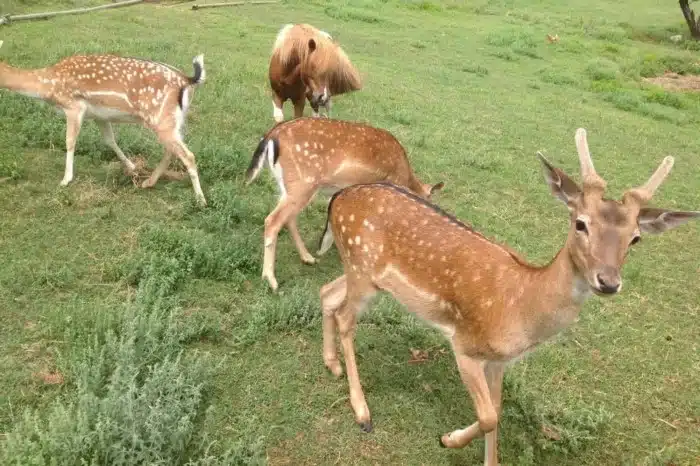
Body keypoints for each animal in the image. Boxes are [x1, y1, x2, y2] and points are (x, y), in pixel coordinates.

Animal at [0, 40, 208, 206]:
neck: (47, 85)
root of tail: (187, 80)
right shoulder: (99, 115)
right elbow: (110, 140)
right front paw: (132, 167)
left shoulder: (74, 106)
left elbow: (70, 141)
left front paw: (65, 180)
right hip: (173, 121)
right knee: (172, 150)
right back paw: (148, 182)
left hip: (161, 118)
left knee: (188, 155)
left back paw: (200, 200)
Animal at [246, 116, 442, 292]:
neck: (405, 176)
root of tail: (271, 136)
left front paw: (324, 247)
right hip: (303, 182)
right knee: (273, 220)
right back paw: (270, 279)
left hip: (288, 185)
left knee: (288, 218)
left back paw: (308, 258)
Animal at [318, 128, 700, 466]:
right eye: (580, 223)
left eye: (635, 238)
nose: (608, 281)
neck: (520, 310)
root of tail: (337, 199)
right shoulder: (465, 345)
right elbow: (488, 416)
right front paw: (448, 439)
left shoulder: (499, 361)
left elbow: (497, 412)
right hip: (362, 270)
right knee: (346, 318)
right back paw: (362, 411)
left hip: (362, 274)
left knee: (327, 293)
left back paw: (331, 363)